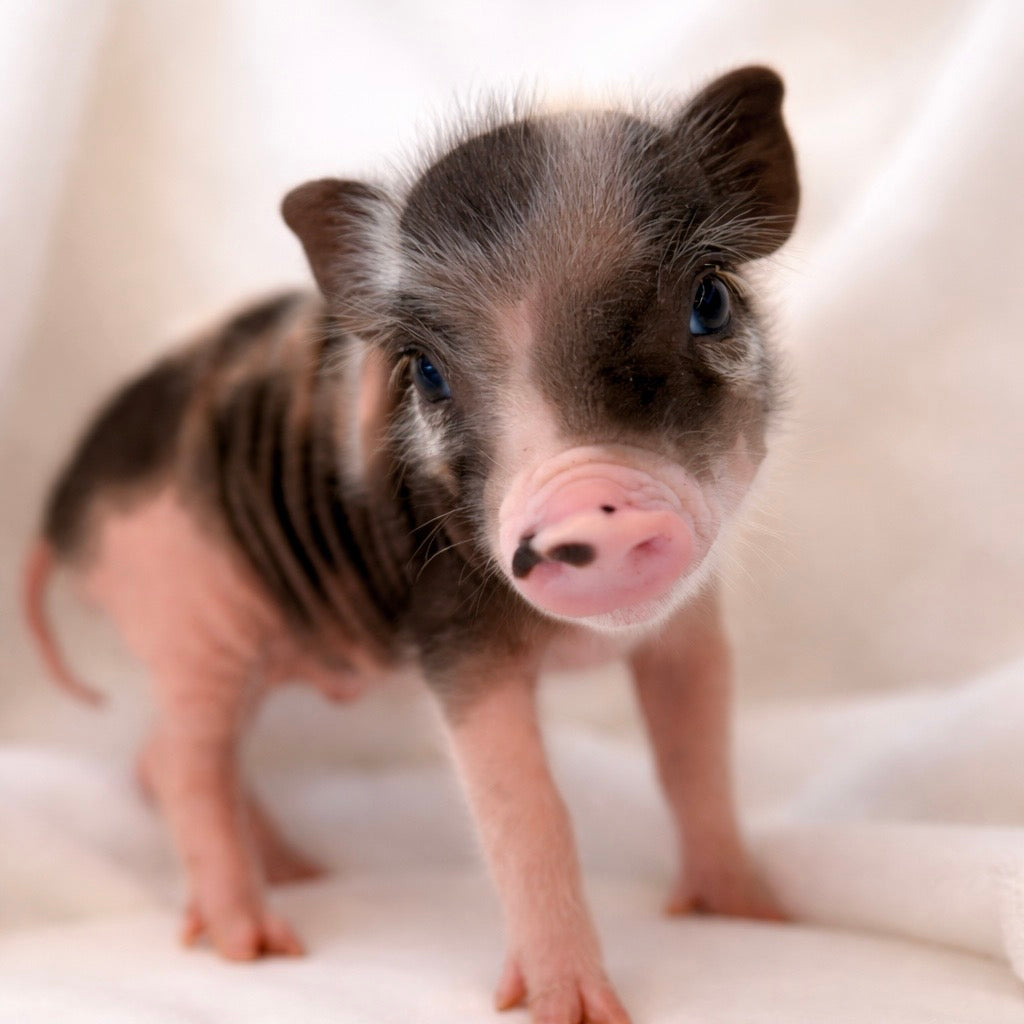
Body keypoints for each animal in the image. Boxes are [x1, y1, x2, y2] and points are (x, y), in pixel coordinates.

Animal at [23, 65, 799, 1024]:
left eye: (710, 300)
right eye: (427, 373)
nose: (590, 508)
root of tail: (63, 505)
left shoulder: (687, 627)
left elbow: (697, 757)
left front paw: (761, 920)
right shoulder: (452, 636)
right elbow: (526, 810)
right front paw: (572, 1010)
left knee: (160, 756)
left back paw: (303, 870)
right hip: (187, 620)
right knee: (181, 763)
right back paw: (259, 945)